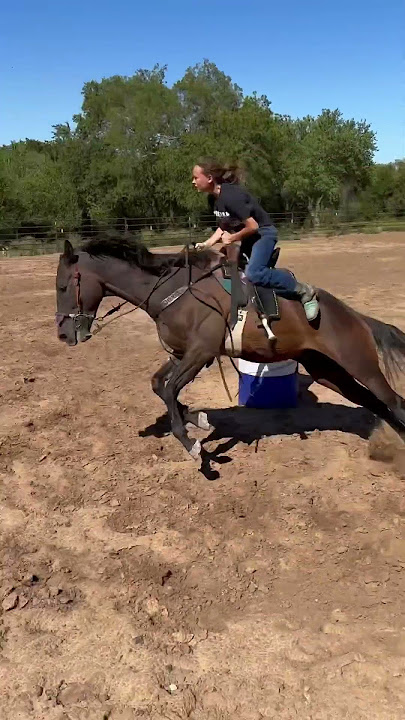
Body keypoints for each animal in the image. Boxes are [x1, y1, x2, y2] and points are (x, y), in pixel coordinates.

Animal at [55, 232, 405, 462]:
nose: (62, 334)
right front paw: (197, 419)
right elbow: (160, 386)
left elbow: (169, 390)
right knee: (375, 403)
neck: (175, 291)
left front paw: (193, 444)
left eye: (62, 286)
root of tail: (354, 315)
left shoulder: (201, 353)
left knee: (393, 402)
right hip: (327, 370)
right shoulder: (182, 354)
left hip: (360, 364)